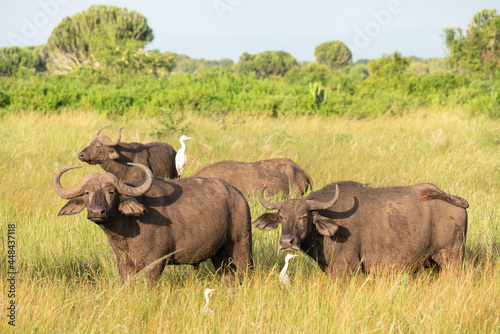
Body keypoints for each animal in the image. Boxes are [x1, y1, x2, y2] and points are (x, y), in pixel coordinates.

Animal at [53, 162, 254, 282]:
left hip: (242, 245)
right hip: (219, 254)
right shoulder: (124, 264)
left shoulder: (156, 263)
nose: (97, 211)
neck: (128, 230)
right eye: (86, 192)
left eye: (112, 192)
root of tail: (237, 195)